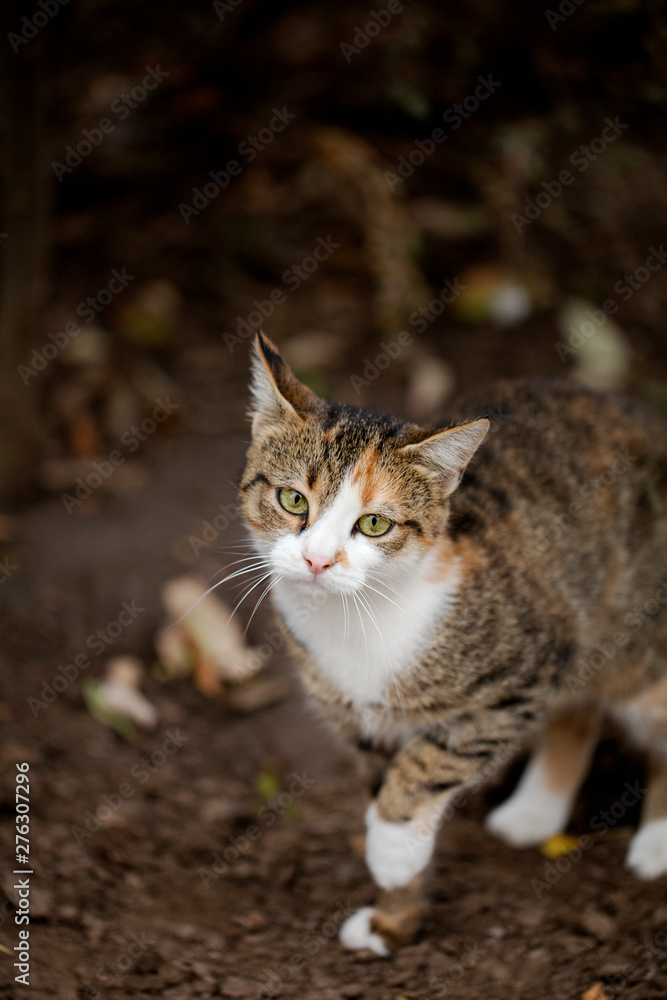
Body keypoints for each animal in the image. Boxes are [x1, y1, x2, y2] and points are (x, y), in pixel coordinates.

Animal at [239, 330, 667, 952]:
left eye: (374, 524)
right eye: (293, 500)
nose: (317, 560)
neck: (354, 618)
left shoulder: (528, 670)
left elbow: (428, 763)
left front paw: (392, 849)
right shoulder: (363, 723)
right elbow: (387, 780)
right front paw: (395, 918)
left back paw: (656, 840)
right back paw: (535, 812)